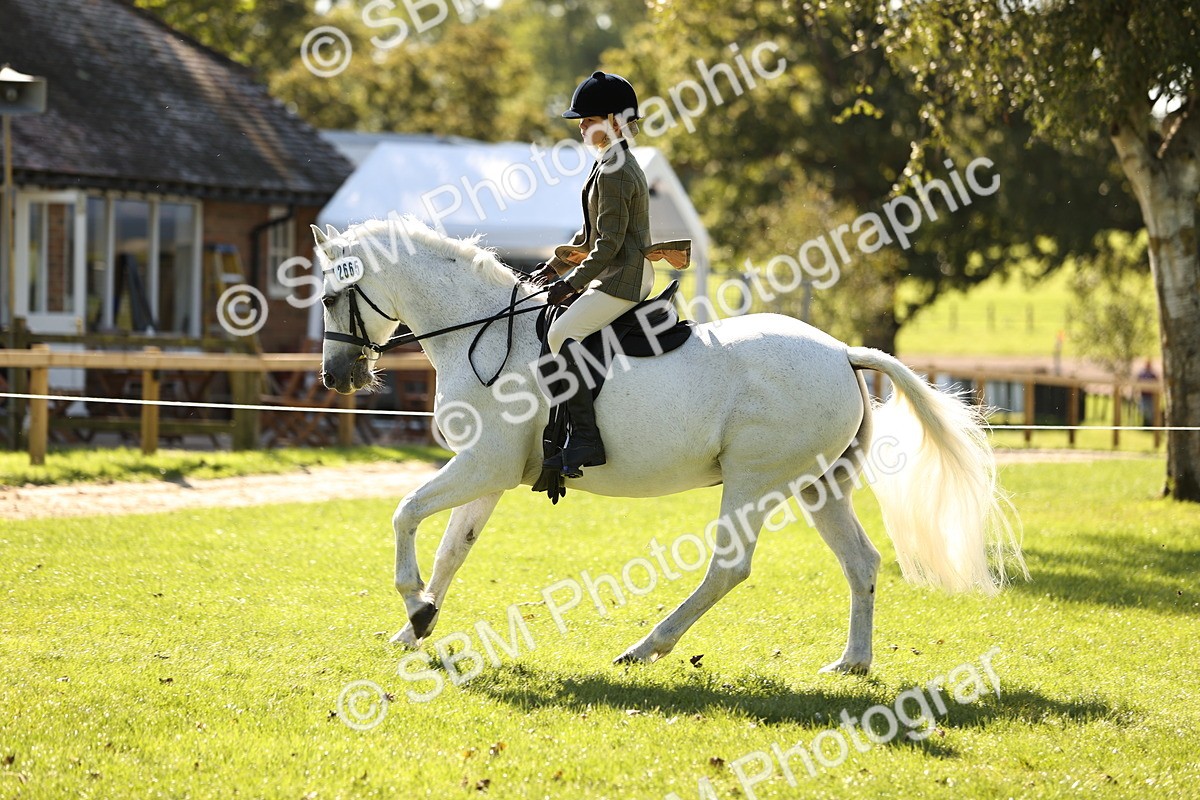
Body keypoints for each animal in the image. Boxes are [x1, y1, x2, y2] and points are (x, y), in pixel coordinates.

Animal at [313, 216, 1025, 674]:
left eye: (332, 296)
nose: (335, 378)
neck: (482, 334)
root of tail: (842, 351)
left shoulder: (482, 465)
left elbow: (405, 515)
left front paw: (415, 607)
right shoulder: (490, 473)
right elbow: (451, 551)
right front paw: (416, 627)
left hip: (754, 479)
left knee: (729, 568)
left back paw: (645, 647)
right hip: (819, 485)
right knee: (862, 563)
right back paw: (851, 662)